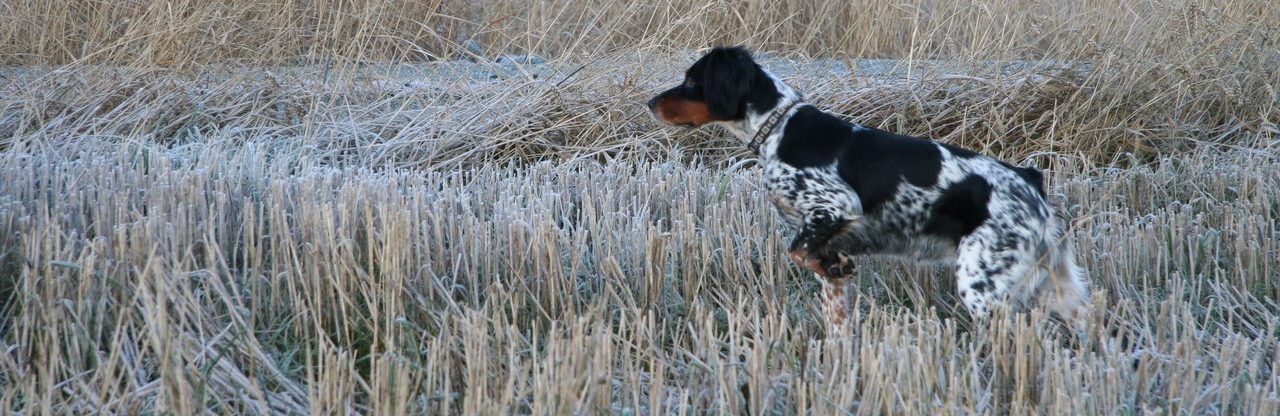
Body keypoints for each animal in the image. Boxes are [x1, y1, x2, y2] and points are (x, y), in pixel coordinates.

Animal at [650, 46, 1090, 330]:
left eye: (691, 80)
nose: (651, 103)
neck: (778, 129)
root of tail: (1030, 183)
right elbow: (832, 303)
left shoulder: (834, 206)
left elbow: (797, 251)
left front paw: (836, 265)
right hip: (1057, 287)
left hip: (984, 285)